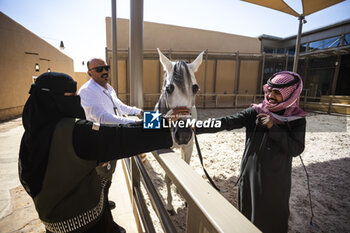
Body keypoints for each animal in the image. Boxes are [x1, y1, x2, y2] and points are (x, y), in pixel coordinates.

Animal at [155, 48, 204, 215]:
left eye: (195, 88)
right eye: (168, 88)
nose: (183, 134)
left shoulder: (189, 146)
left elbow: (185, 166)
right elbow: (168, 178)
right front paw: (170, 205)